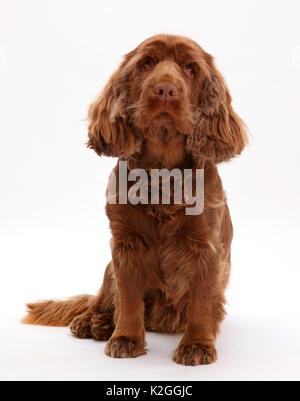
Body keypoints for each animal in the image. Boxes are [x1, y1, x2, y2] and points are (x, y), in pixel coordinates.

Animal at [22, 35, 248, 366]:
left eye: (190, 69)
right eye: (147, 63)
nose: (165, 89)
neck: (161, 173)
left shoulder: (205, 248)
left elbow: (202, 303)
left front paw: (197, 344)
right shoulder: (125, 245)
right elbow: (128, 299)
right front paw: (126, 338)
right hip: (108, 269)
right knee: (100, 301)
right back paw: (93, 322)